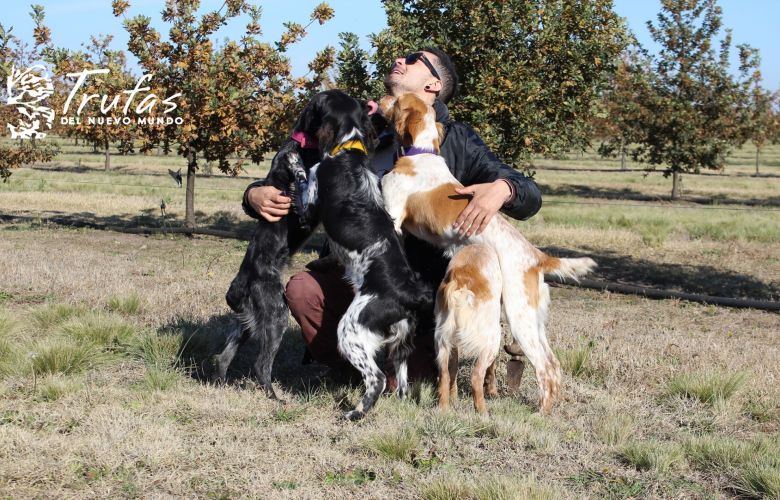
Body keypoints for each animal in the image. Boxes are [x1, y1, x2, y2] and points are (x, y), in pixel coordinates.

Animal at [380, 94, 596, 414]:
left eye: (395, 98)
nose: (380, 97)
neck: (421, 152)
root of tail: (537, 257)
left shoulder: (393, 215)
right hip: (532, 319)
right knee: (553, 364)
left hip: (518, 319)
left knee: (544, 367)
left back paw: (540, 414)